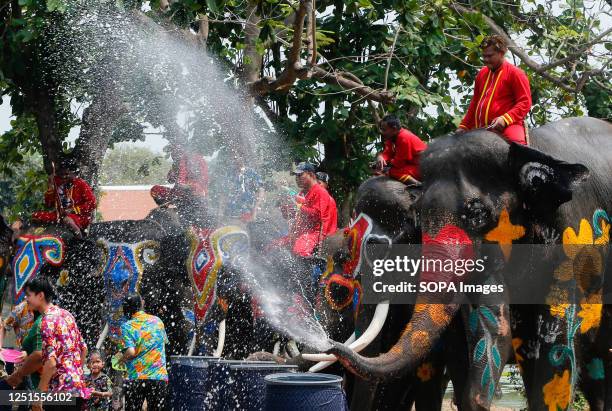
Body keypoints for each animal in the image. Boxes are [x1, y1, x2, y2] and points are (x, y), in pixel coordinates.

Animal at [330, 116, 612, 411]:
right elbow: (487, 330)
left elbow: (555, 348)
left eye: (477, 214)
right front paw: (474, 398)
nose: (332, 346)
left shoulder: (572, 237)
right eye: (419, 214)